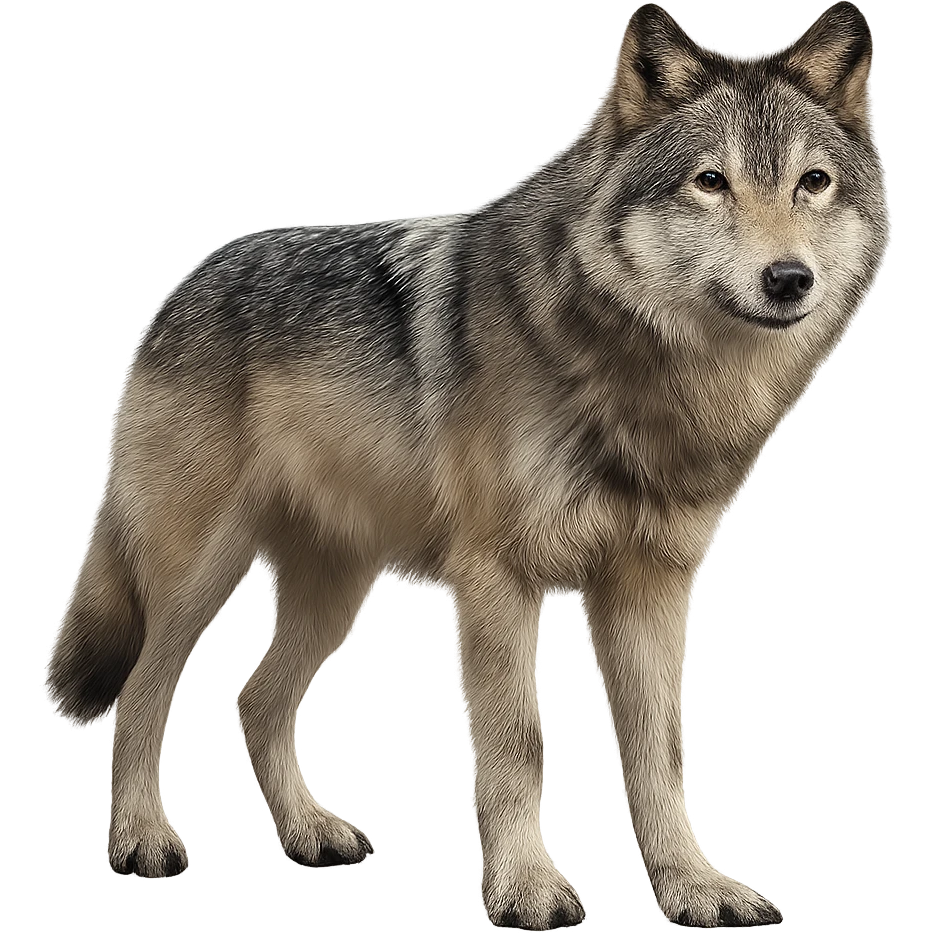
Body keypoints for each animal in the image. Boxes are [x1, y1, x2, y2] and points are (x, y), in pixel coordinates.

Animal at [43, 1, 885, 927]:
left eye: (812, 183)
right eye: (710, 182)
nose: (787, 278)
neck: (639, 376)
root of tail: (183, 281)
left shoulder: (650, 584)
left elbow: (661, 755)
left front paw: (692, 885)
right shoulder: (499, 579)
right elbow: (517, 743)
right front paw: (527, 888)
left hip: (338, 592)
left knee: (253, 697)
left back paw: (309, 834)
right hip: (196, 577)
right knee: (139, 697)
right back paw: (141, 842)